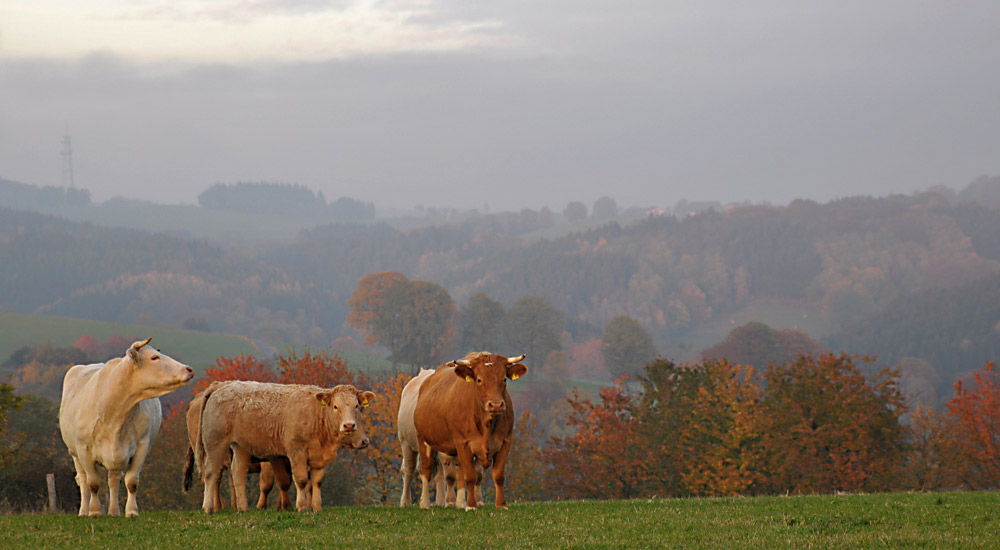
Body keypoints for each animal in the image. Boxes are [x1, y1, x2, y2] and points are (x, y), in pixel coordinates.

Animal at [59, 338, 194, 520]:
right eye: (154, 357)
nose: (189, 369)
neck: (115, 413)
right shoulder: (83, 448)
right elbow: (93, 482)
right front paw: (95, 511)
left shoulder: (142, 447)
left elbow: (131, 482)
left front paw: (131, 511)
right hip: (74, 453)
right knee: (83, 479)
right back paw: (84, 511)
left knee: (114, 479)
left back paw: (114, 511)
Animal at [198, 382, 376, 516]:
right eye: (335, 406)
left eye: (357, 405)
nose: (349, 425)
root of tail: (220, 387)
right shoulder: (296, 452)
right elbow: (301, 480)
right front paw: (301, 507)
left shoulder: (319, 458)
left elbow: (317, 482)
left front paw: (317, 507)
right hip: (215, 442)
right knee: (211, 473)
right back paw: (207, 508)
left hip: (241, 446)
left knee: (238, 473)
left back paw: (243, 507)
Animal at [410, 354, 528, 512]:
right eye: (479, 380)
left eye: (504, 379)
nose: (496, 405)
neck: (486, 423)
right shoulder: (463, 444)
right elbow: (470, 476)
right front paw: (471, 505)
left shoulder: (505, 442)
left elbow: (498, 476)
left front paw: (501, 505)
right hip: (423, 440)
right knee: (426, 470)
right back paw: (425, 504)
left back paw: (458, 503)